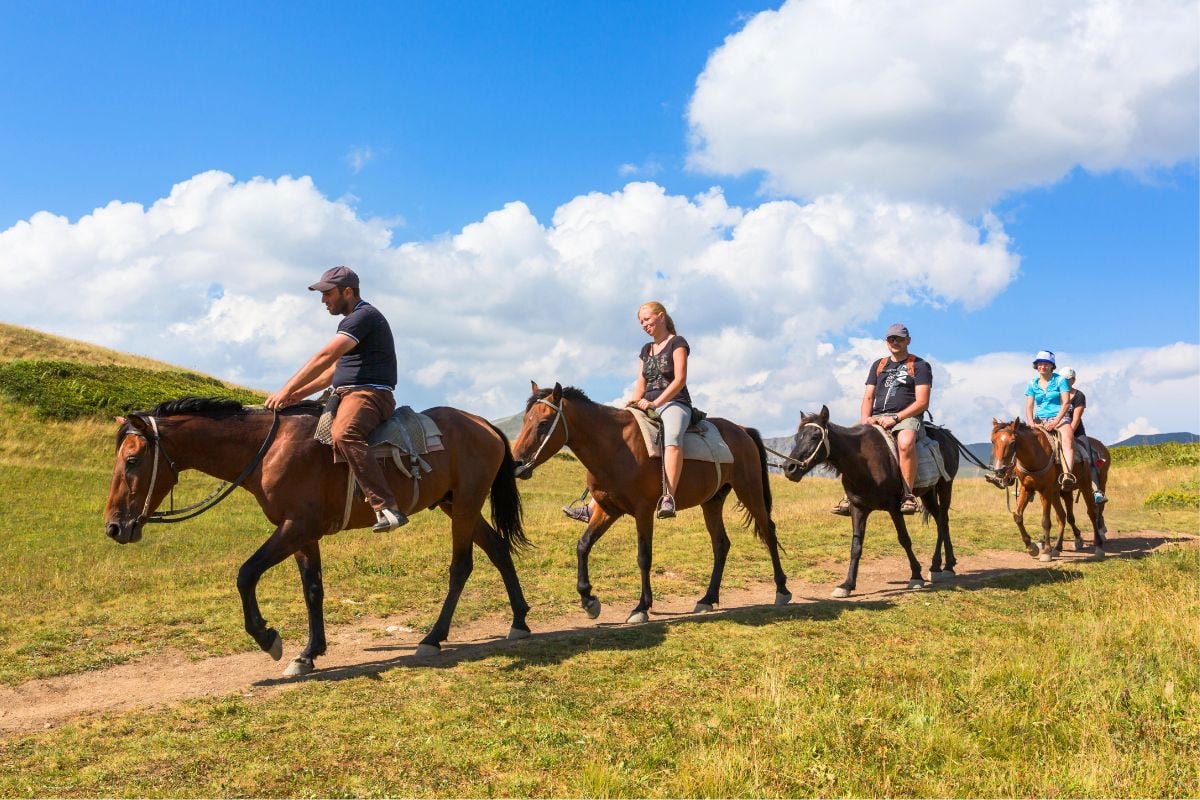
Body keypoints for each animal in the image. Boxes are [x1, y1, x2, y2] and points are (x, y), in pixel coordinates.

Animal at [100, 398, 532, 671]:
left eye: (132, 460)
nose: (114, 527)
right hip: (455, 504)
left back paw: (434, 637)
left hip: (465, 505)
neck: (267, 450)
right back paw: (519, 621)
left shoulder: (296, 527)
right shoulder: (302, 534)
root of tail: (485, 425)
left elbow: (246, 573)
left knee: (462, 565)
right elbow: (313, 589)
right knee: (497, 550)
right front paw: (308, 653)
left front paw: (268, 638)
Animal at [511, 383, 792, 623]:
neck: (615, 447)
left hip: (749, 490)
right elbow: (583, 545)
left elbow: (643, 556)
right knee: (721, 544)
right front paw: (588, 600)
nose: (516, 464)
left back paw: (781, 589)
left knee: (768, 532)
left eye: (544, 423)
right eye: (524, 421)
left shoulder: (643, 511)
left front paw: (641, 607)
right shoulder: (608, 510)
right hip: (712, 501)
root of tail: (742, 430)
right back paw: (707, 598)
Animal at [782, 407, 960, 599]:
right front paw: (847, 585)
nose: (789, 468)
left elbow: (904, 539)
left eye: (815, 436)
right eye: (797, 437)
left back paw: (940, 566)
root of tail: (948, 435)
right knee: (941, 520)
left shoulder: (894, 507)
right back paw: (944, 565)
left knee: (943, 520)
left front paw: (916, 576)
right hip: (928, 493)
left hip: (945, 486)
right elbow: (856, 546)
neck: (864, 463)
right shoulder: (858, 508)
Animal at [988, 419, 1108, 563]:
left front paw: (1045, 552)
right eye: (993, 441)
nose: (999, 471)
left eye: (1012, 442)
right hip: (1056, 492)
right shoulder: (1027, 488)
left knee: (1092, 512)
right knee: (1062, 516)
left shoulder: (1046, 490)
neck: (1035, 455)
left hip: (1085, 484)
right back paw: (1057, 547)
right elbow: (1017, 516)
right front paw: (1031, 547)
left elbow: (1045, 521)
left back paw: (1099, 547)